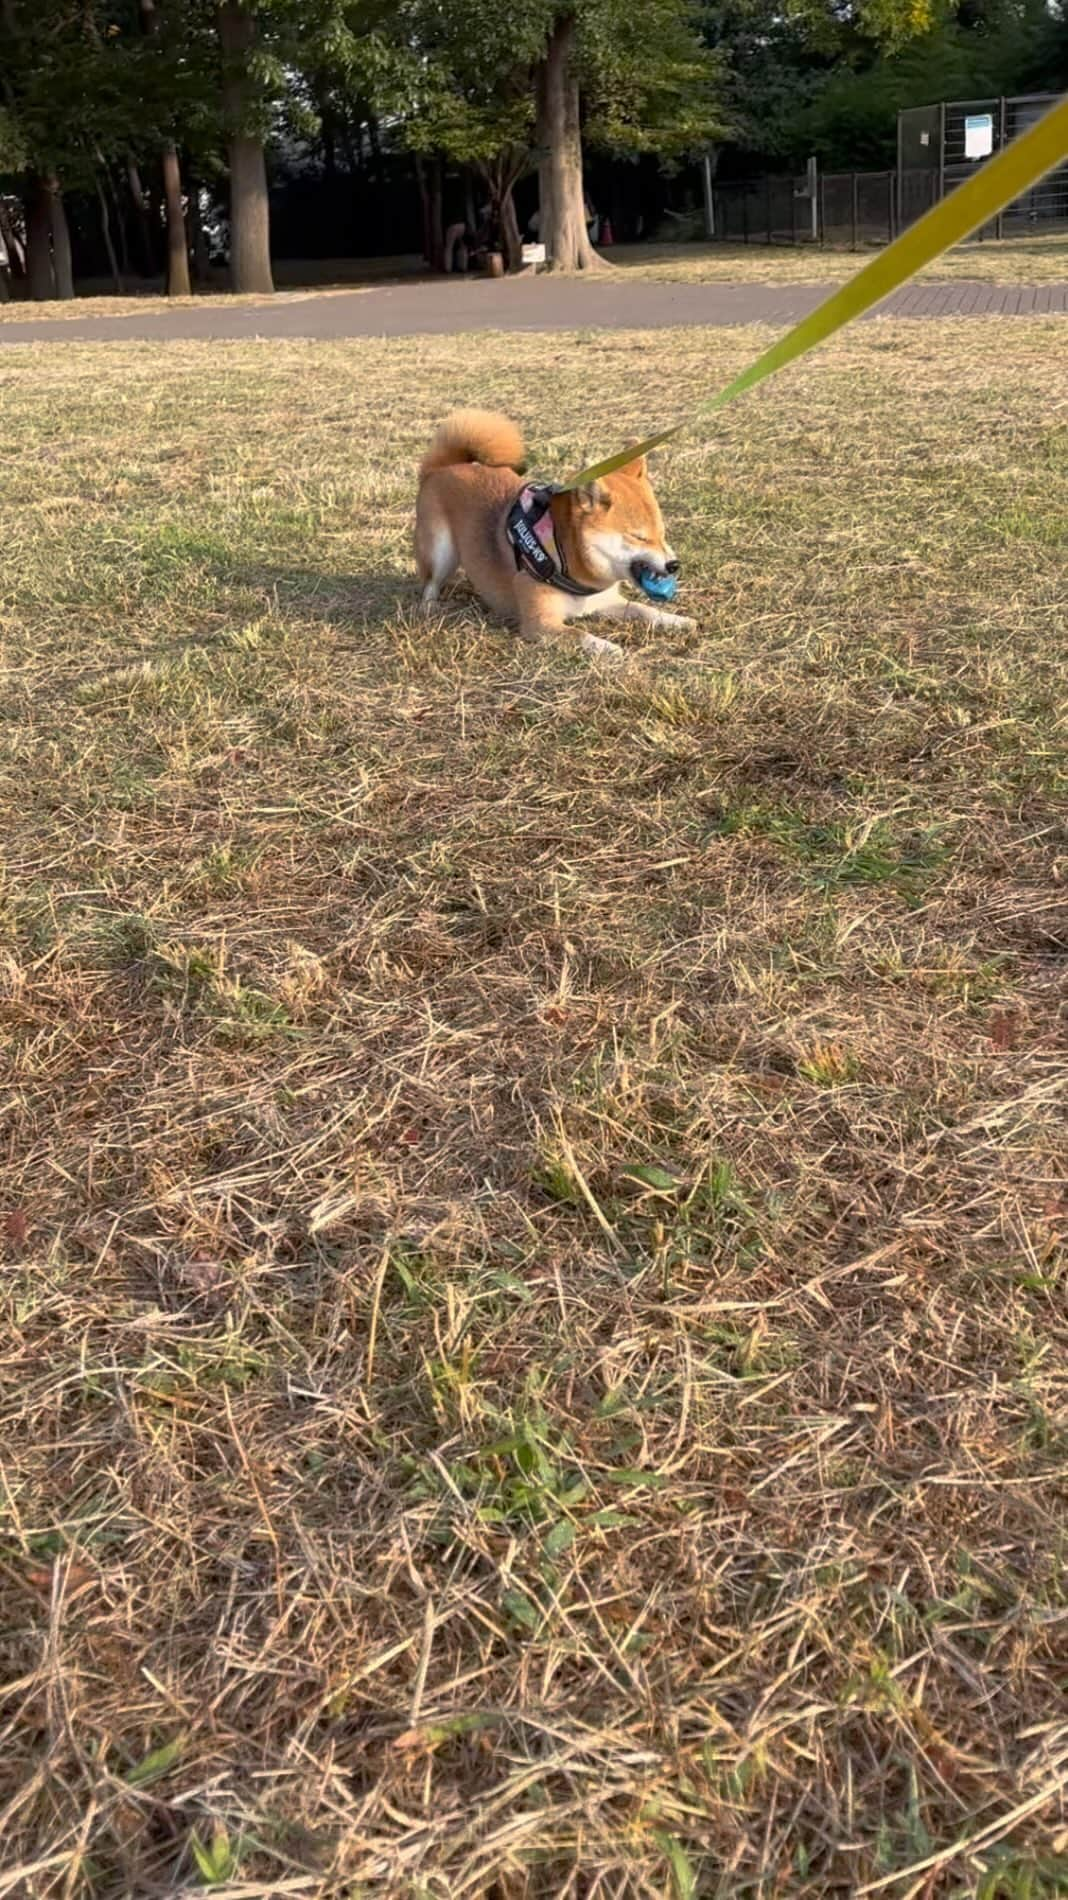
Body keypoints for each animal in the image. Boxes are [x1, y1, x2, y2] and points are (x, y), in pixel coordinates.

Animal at [406, 408, 691, 661]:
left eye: (662, 534)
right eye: (638, 537)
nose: (674, 565)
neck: (565, 553)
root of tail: (442, 467)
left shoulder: (605, 602)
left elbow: (643, 610)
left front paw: (675, 619)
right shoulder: (540, 624)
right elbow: (579, 634)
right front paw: (608, 647)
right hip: (440, 551)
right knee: (430, 584)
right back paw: (431, 608)